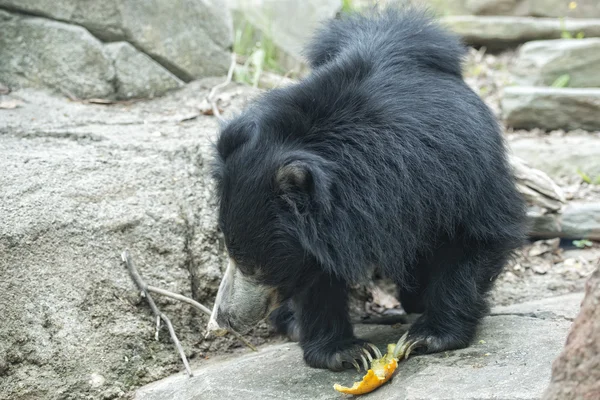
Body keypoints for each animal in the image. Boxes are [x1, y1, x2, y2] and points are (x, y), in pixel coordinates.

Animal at [206, 7, 524, 372]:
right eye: (231, 252)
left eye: (252, 265)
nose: (223, 320)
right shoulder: (319, 237)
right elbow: (317, 279)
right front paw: (346, 351)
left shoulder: (461, 170)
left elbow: (476, 236)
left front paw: (426, 336)